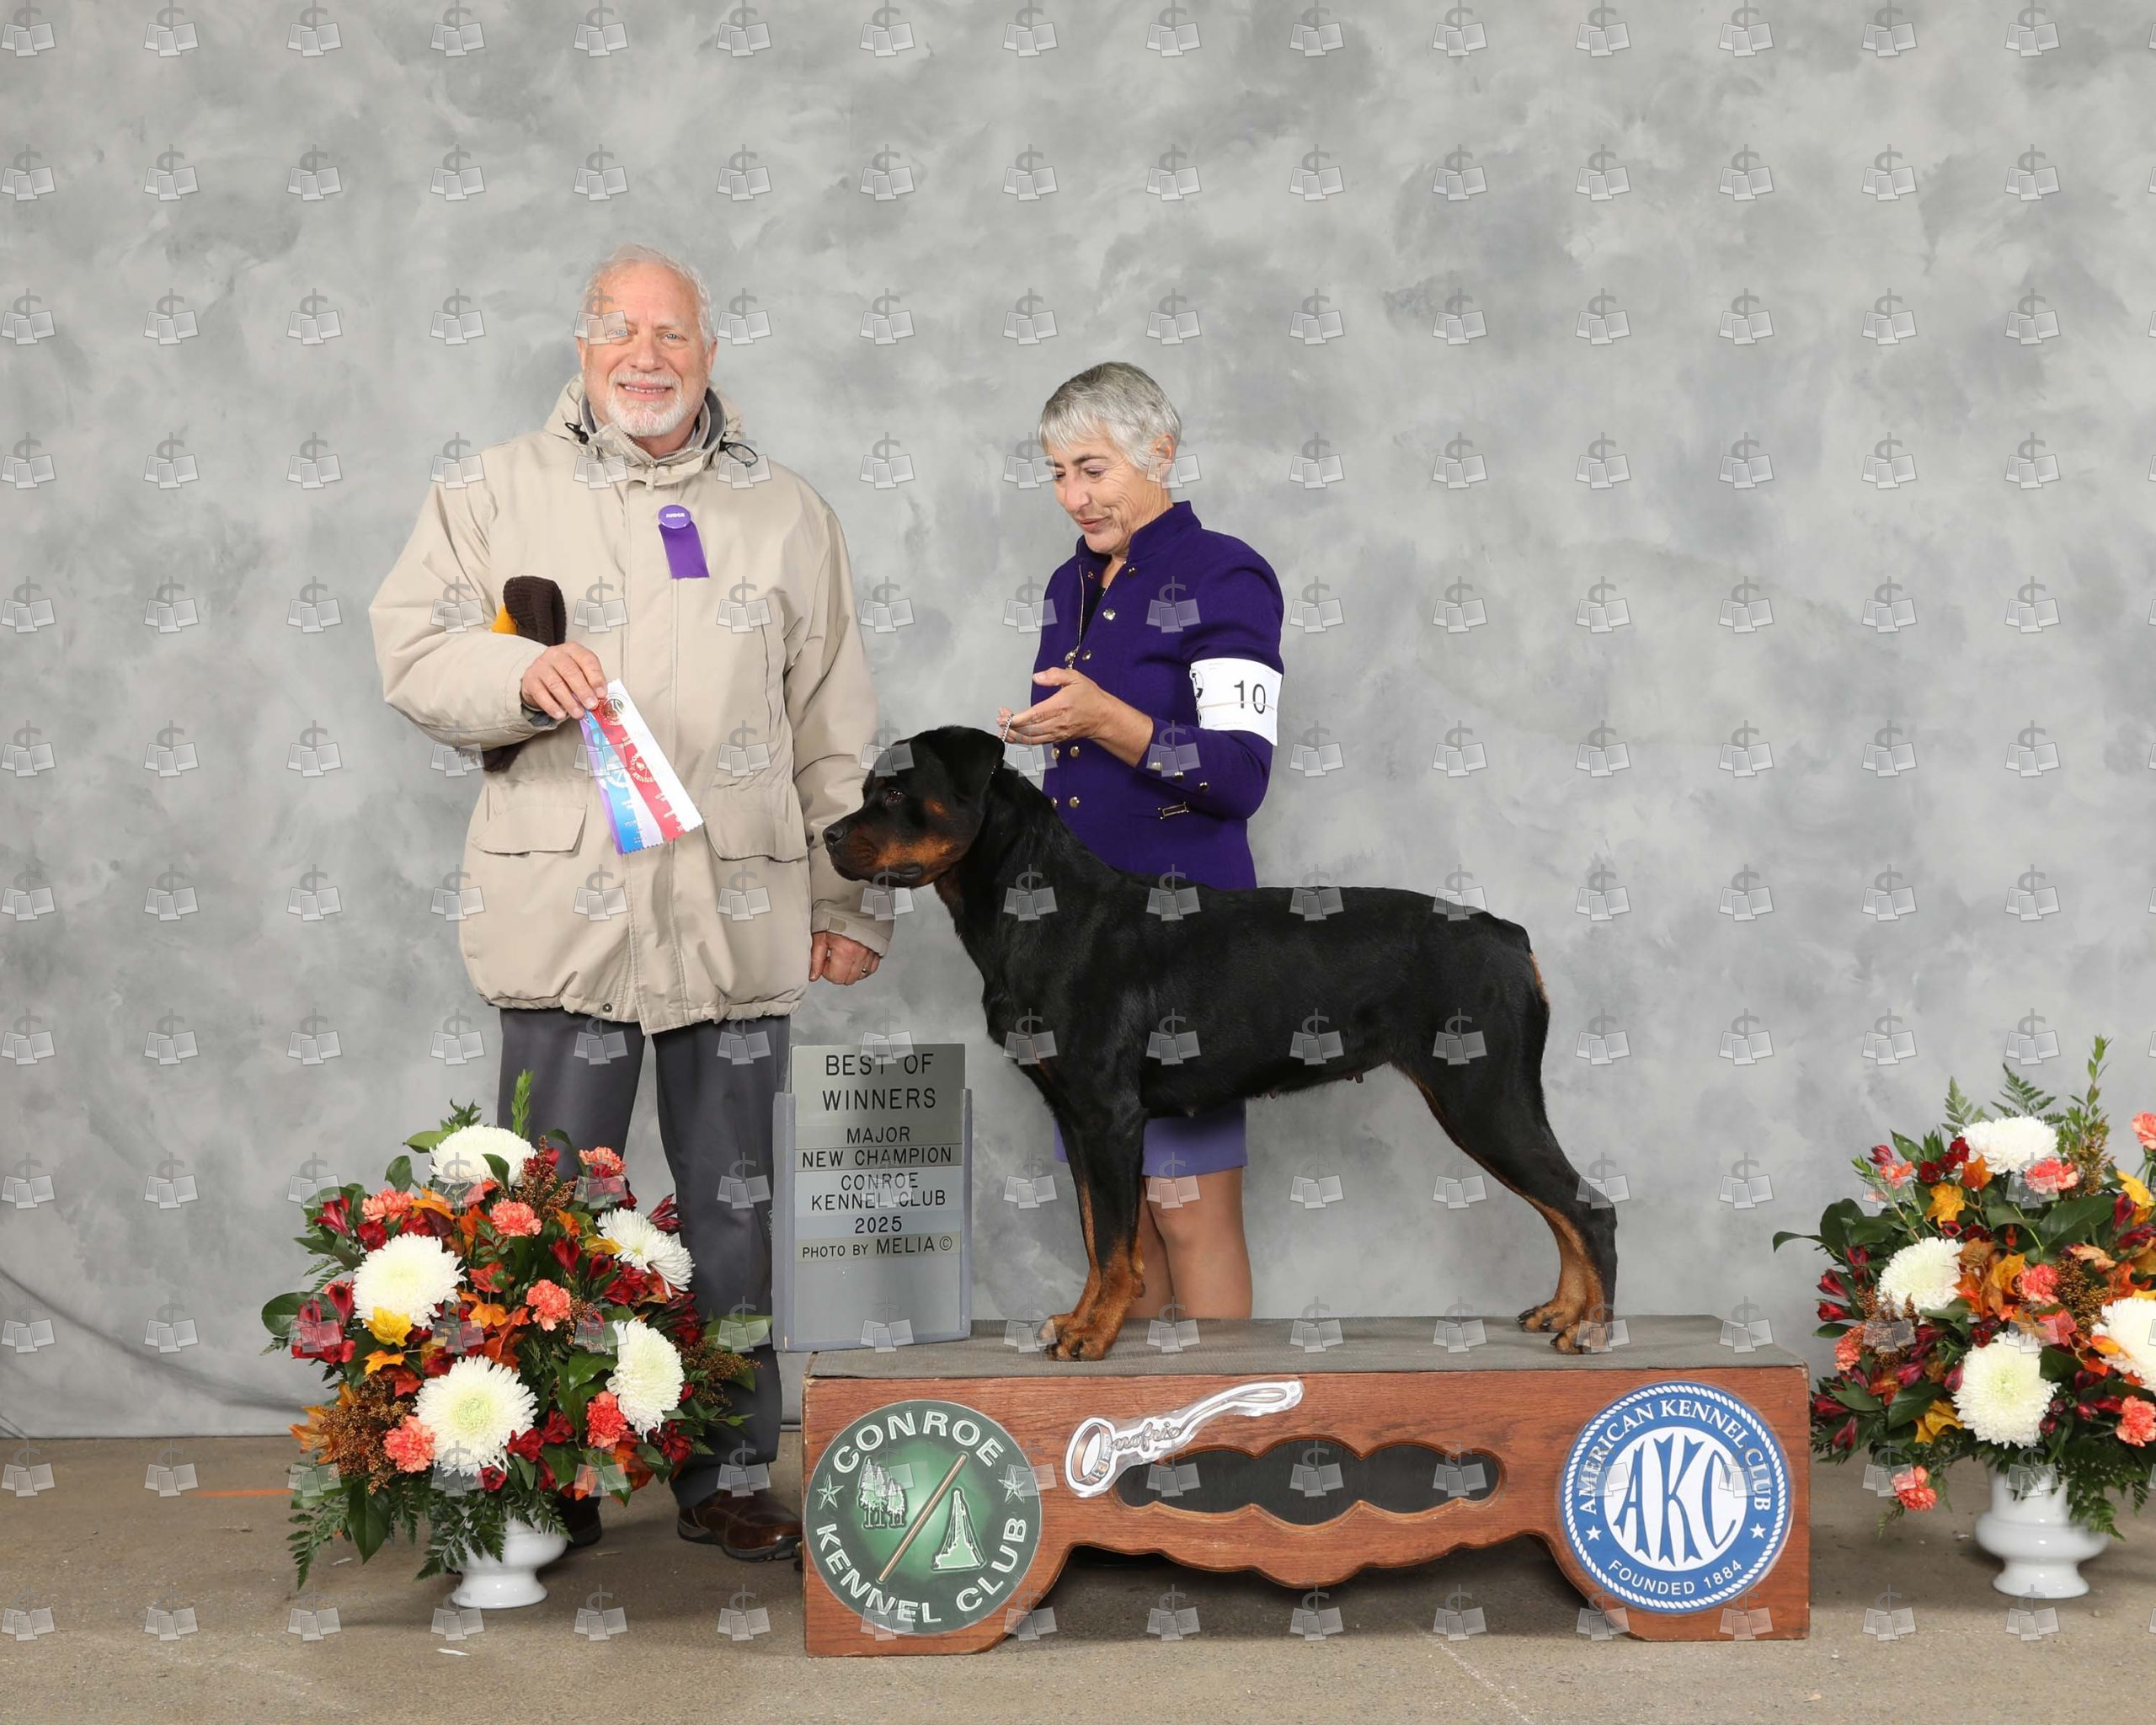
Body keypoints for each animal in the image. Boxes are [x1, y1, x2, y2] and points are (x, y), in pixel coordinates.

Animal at [822, 725, 1616, 1362]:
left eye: (893, 791)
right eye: (865, 789)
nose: (826, 835)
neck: (1035, 905)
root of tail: (1510, 938)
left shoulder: (1109, 1117)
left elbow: (1115, 1245)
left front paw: (1093, 1335)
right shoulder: (1075, 1120)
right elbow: (1094, 1234)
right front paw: (1077, 1319)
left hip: (1484, 1096)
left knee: (1587, 1208)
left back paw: (1590, 1328)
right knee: (1562, 1208)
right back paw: (1562, 1312)